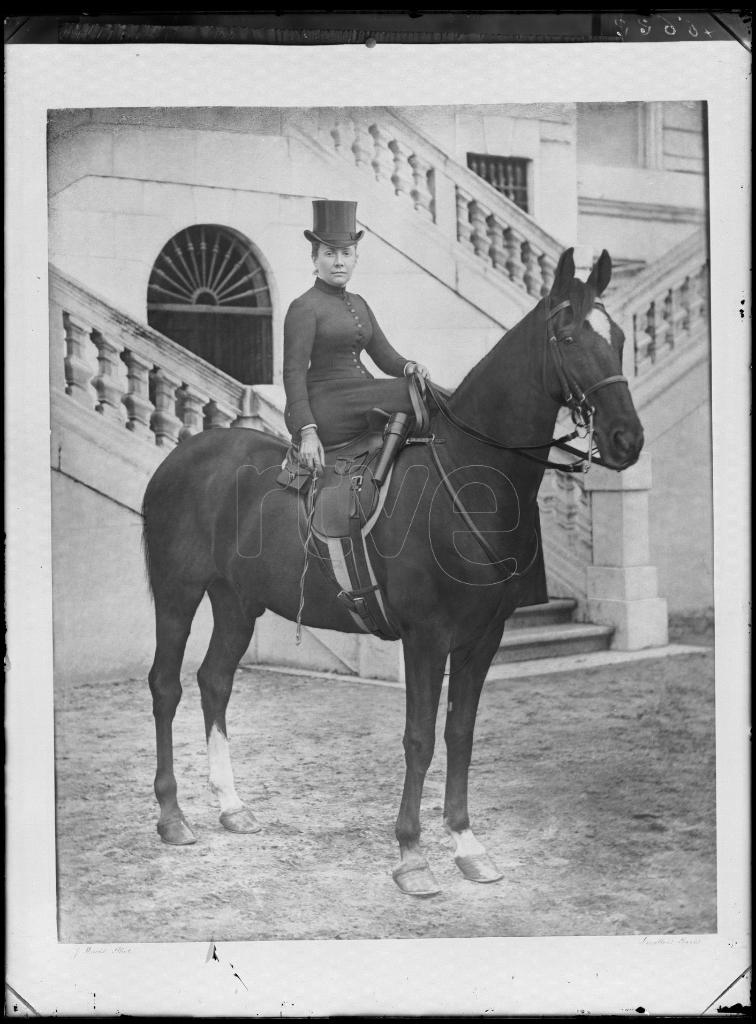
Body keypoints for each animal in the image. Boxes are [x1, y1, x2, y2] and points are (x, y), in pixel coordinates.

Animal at [142, 247, 643, 897]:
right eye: (568, 334)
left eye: (620, 338)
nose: (627, 439)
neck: (471, 475)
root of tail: (180, 456)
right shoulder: (426, 637)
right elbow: (420, 738)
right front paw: (411, 854)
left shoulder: (484, 636)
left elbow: (459, 734)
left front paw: (466, 844)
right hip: (178, 593)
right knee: (166, 685)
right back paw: (172, 816)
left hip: (237, 601)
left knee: (214, 682)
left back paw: (230, 805)